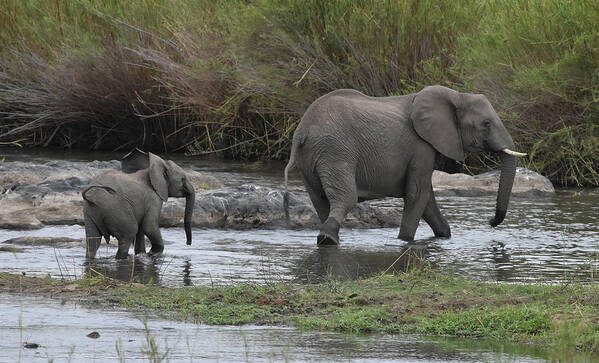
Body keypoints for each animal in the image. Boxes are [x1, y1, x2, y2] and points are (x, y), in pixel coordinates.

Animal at [286, 85, 524, 246]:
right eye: (486, 124)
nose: (490, 221)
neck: (456, 95)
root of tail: (301, 131)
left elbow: (427, 197)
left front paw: (444, 236)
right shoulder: (422, 146)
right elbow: (417, 194)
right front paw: (405, 241)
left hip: (310, 158)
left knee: (320, 200)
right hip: (336, 150)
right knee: (346, 198)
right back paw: (327, 239)